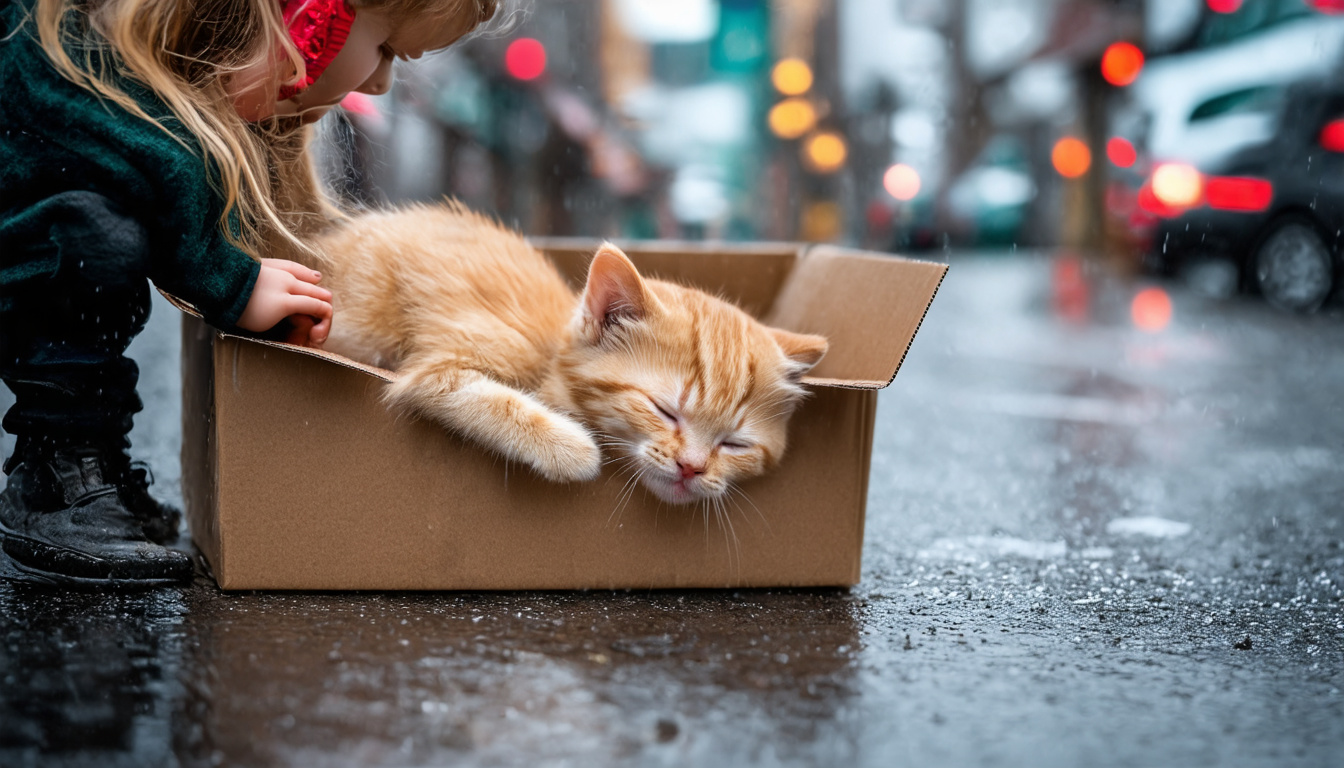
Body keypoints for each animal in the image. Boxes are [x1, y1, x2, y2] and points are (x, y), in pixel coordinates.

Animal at [309, 201, 822, 508]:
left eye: (736, 444)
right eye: (664, 411)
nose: (692, 468)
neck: (551, 359)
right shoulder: (440, 369)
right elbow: (483, 396)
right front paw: (575, 448)